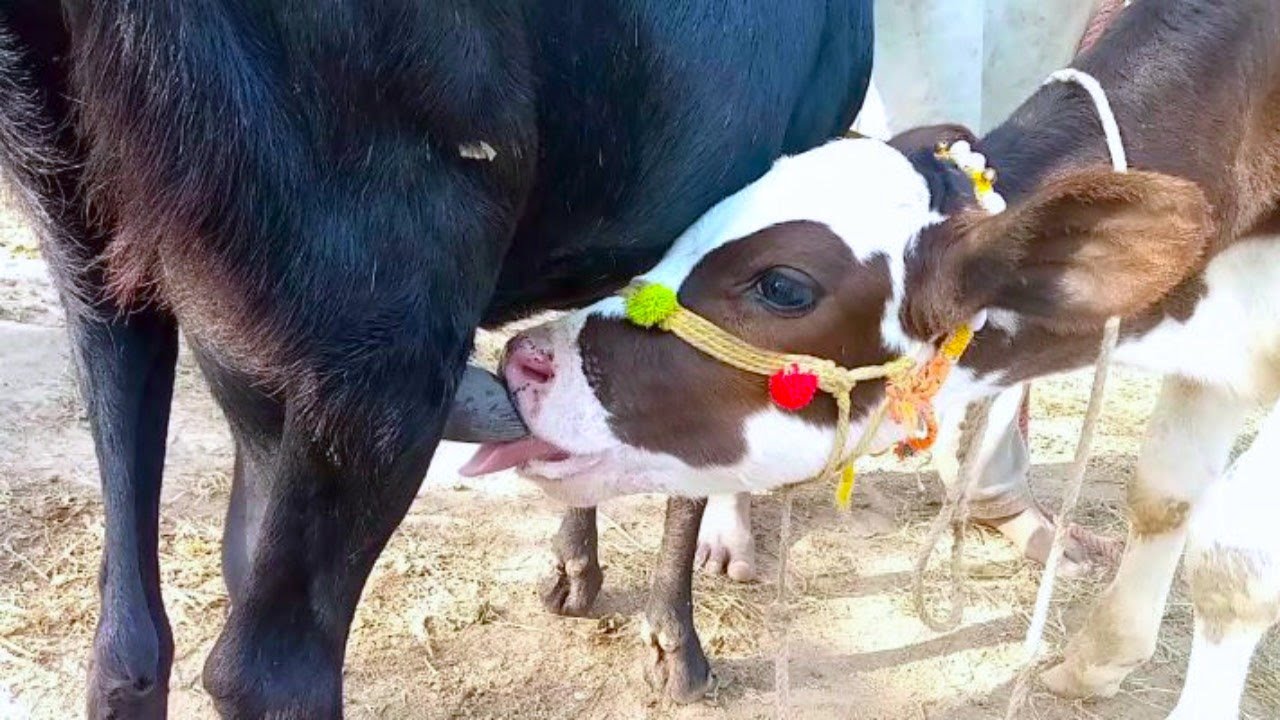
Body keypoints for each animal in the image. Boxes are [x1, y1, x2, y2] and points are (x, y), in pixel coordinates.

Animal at [0, 2, 876, 717]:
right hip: (385, 346)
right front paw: (675, 644)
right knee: (272, 674)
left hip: (94, 247)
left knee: (135, 636)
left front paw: (577, 569)